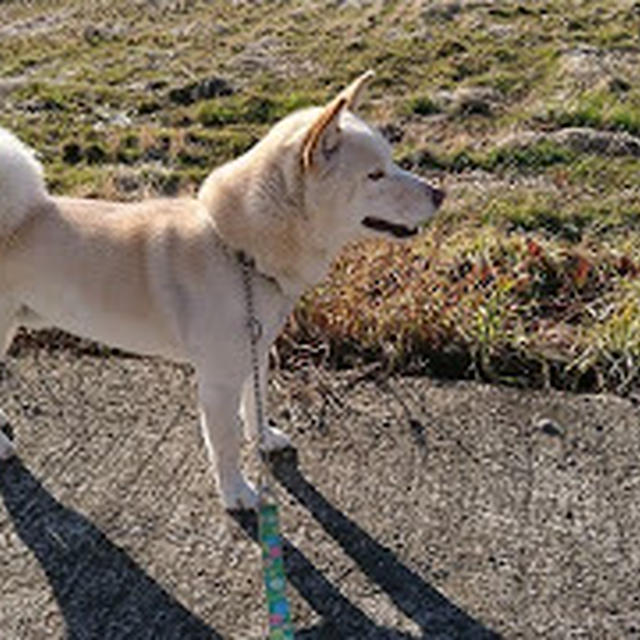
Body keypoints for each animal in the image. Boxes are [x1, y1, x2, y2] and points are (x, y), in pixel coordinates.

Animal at [0, 71, 444, 510]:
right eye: (376, 175)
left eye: (392, 162)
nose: (441, 194)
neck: (238, 253)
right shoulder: (217, 381)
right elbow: (226, 443)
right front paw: (236, 492)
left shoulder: (255, 352)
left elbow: (256, 405)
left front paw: (264, 440)